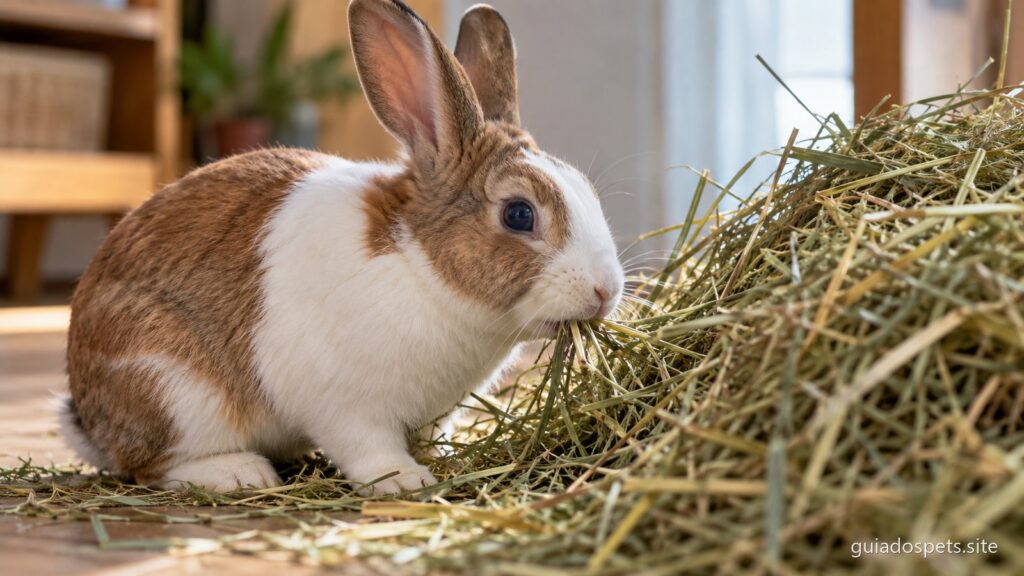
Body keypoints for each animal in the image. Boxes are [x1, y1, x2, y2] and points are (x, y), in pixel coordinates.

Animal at [59, 0, 624, 495]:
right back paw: (241, 473)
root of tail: (87, 416)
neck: (421, 267)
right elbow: (370, 450)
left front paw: (441, 459)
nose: (606, 290)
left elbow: (428, 437)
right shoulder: (347, 408)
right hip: (171, 387)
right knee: (151, 465)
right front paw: (407, 481)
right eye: (519, 214)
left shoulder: (431, 414)